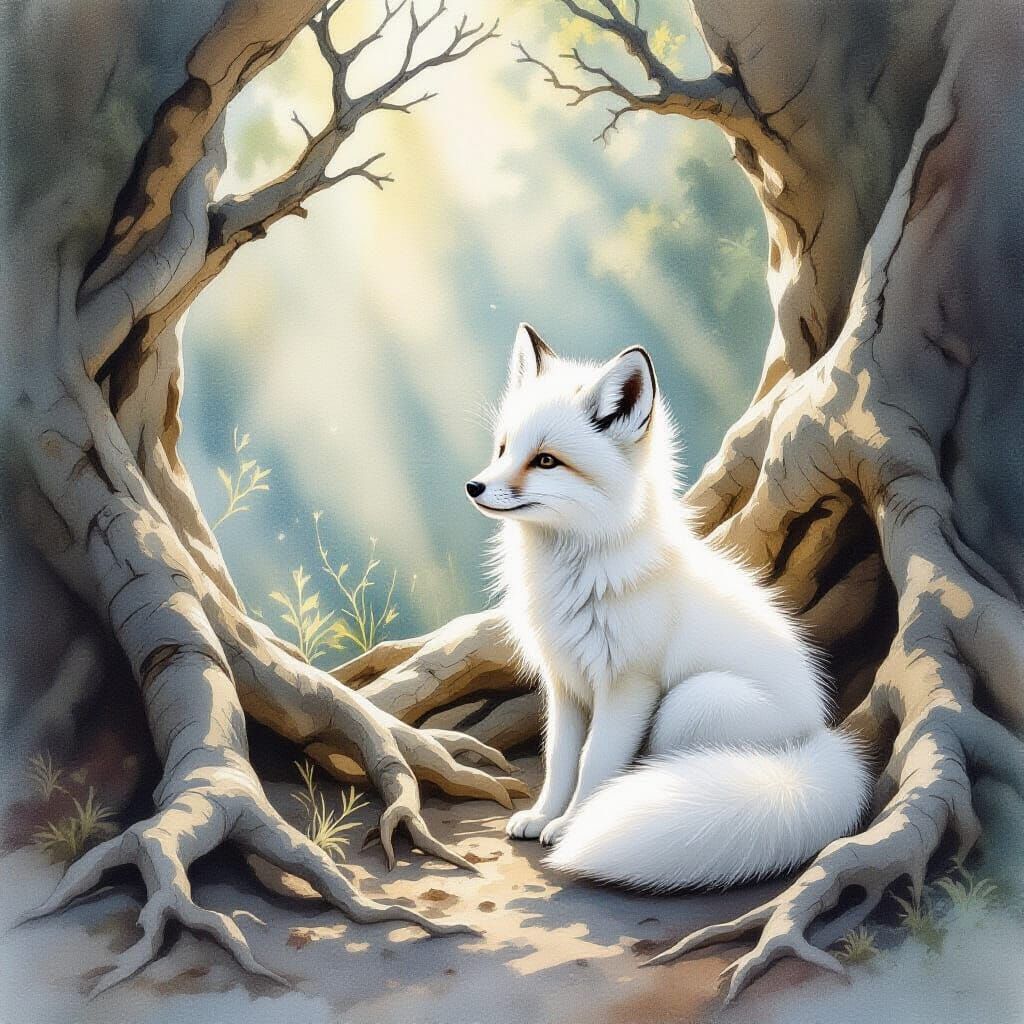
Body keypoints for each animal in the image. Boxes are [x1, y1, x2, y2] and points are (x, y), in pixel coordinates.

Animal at [464, 323, 870, 891]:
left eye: (545, 460)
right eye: (503, 448)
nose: (474, 486)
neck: (575, 576)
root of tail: (814, 741)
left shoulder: (628, 686)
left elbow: (594, 763)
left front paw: (572, 825)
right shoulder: (564, 683)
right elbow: (560, 760)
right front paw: (544, 816)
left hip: (690, 703)